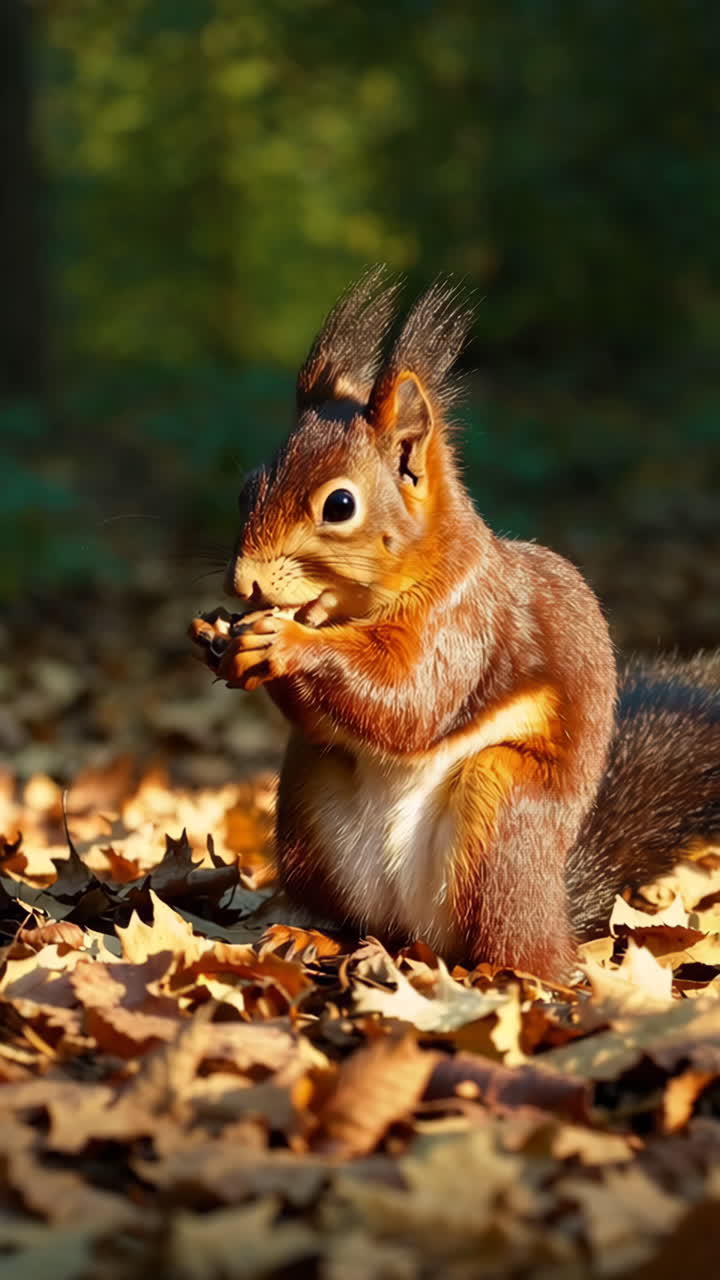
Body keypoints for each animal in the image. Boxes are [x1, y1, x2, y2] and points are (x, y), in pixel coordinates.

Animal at [190, 267, 720, 980]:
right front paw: (220, 638)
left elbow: (413, 701)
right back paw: (313, 936)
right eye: (249, 486)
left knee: (510, 945)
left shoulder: (469, 624)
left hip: (502, 818)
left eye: (340, 505)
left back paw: (498, 972)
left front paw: (287, 643)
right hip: (309, 799)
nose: (241, 583)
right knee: (353, 919)